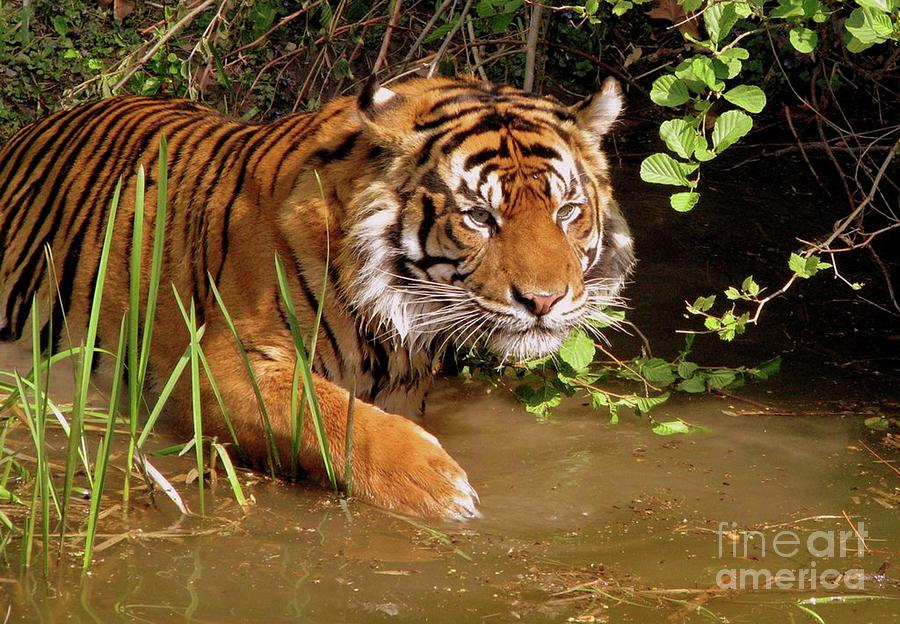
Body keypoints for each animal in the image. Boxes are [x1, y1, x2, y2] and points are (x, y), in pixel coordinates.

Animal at [0, 75, 632, 520]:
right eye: (479, 216)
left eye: (567, 211)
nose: (544, 300)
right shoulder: (212, 365)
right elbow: (332, 413)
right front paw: (441, 489)